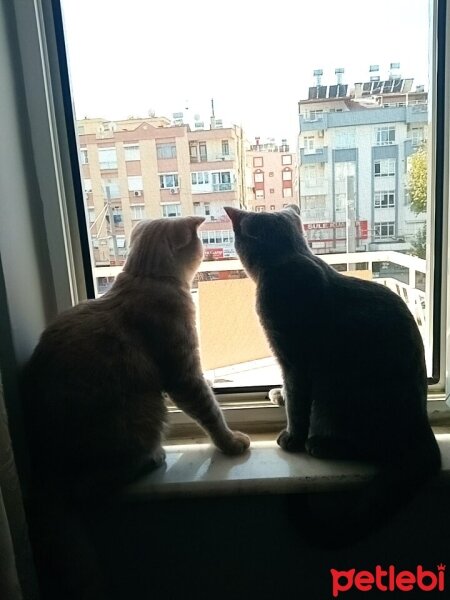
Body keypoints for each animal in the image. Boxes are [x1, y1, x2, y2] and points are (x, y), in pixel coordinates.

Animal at [224, 207, 440, 540]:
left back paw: (319, 444)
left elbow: (297, 401)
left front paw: (291, 436)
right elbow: (289, 392)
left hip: (333, 399)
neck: (289, 259)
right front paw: (278, 394)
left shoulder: (294, 359)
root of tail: (424, 429)